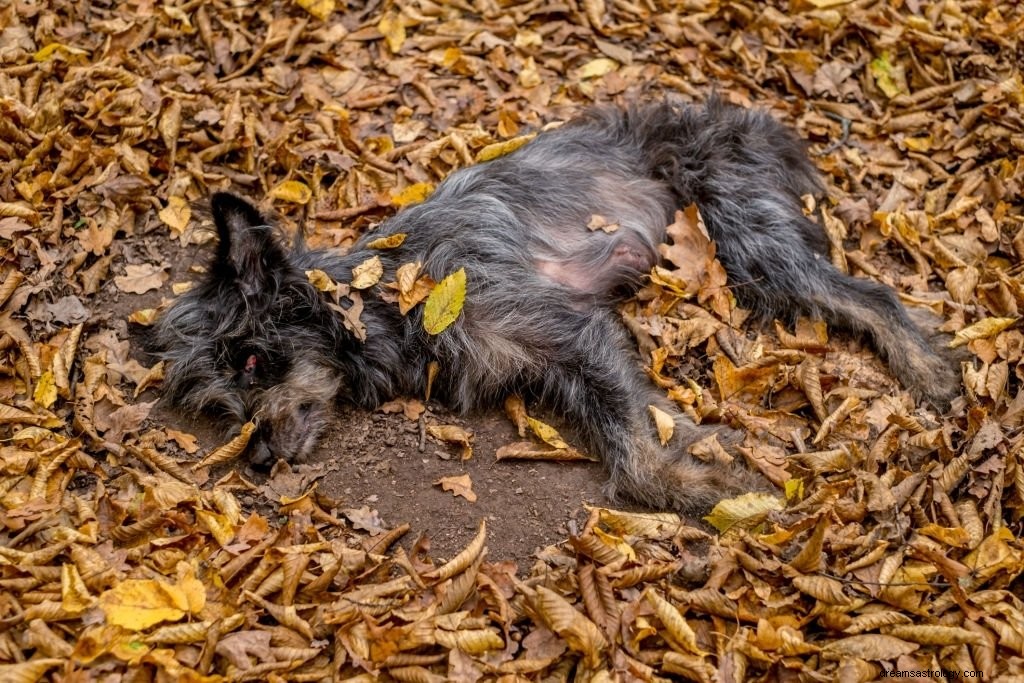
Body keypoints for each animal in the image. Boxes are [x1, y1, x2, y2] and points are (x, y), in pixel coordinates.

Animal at [151, 97, 958, 511]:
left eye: (252, 361)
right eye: (222, 403)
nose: (257, 461)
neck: (390, 296)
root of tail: (740, 114)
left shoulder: (570, 329)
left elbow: (634, 451)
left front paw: (694, 487)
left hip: (751, 238)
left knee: (870, 293)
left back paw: (930, 370)